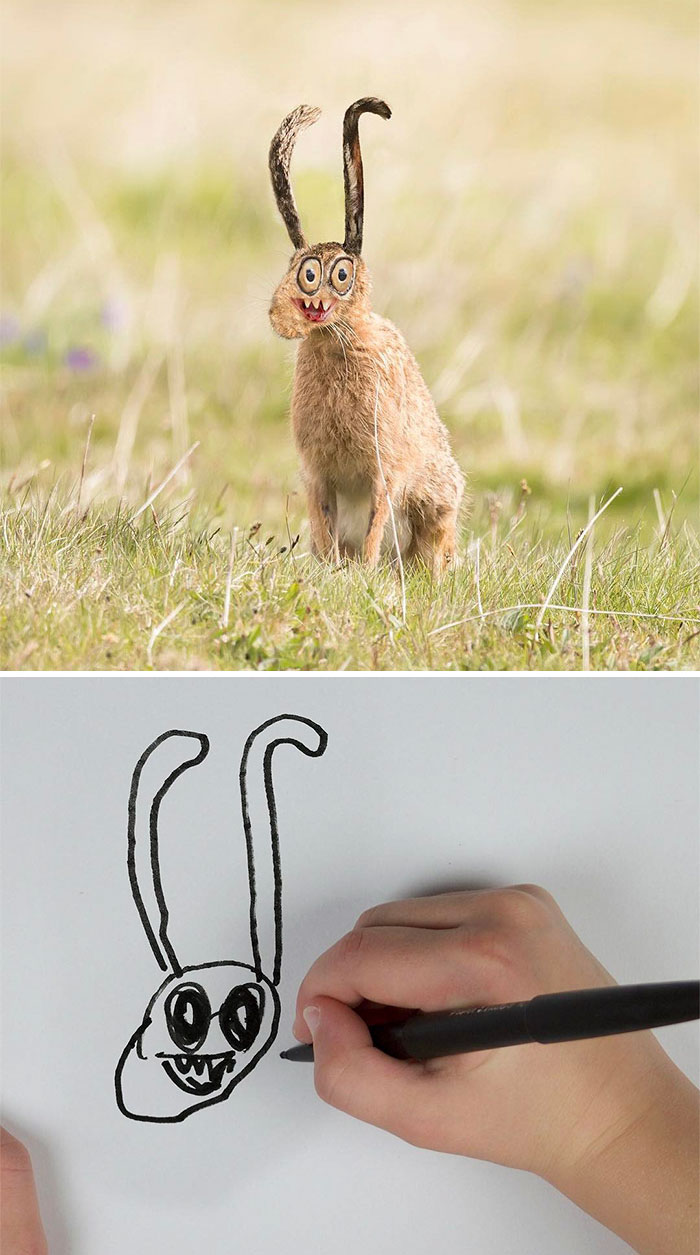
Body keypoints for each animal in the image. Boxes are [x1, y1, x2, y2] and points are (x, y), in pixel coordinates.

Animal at [268, 99, 466, 576]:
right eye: (302, 271)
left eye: (340, 275)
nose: (291, 310)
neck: (337, 339)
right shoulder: (316, 473)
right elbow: (323, 520)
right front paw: (332, 569)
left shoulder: (384, 468)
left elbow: (378, 517)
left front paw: (364, 570)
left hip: (436, 502)